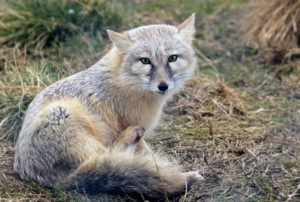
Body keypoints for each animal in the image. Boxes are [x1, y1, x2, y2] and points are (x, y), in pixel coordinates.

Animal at [13, 13, 202, 197]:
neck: (123, 80)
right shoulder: (129, 122)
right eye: (145, 61)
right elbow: (148, 155)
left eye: (172, 58)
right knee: (110, 155)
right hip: (65, 115)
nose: (163, 86)